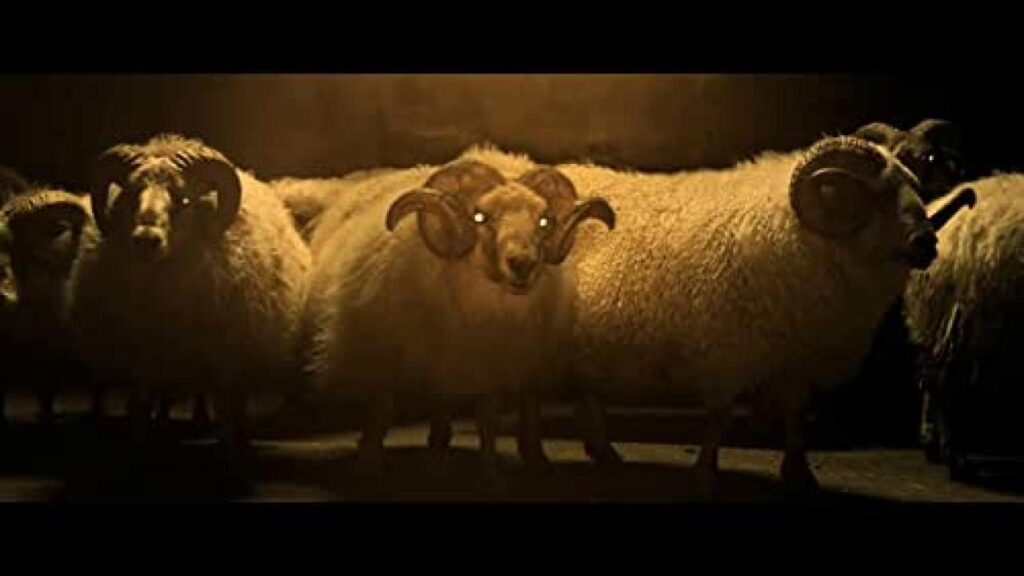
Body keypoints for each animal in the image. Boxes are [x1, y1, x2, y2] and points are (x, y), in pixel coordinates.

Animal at [68, 134, 312, 468]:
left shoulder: (226, 360)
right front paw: (140, 448)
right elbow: (140, 408)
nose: (146, 239)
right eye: (131, 196)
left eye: (183, 201)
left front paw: (231, 457)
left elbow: (226, 410)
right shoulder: (141, 358)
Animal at [300, 158, 615, 475]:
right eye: (479, 217)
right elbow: (380, 411)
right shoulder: (385, 356)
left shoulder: (493, 366)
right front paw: (368, 463)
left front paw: (490, 469)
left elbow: (488, 419)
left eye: (544, 220)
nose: (522, 263)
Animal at [459, 137, 975, 493]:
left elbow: (795, 413)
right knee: (533, 395)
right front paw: (705, 472)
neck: (802, 235)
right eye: (875, 195)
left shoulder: (798, 356)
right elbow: (718, 415)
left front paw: (798, 472)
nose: (926, 243)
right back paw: (539, 456)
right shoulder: (726, 349)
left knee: (572, 392)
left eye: (916, 189)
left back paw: (600, 453)